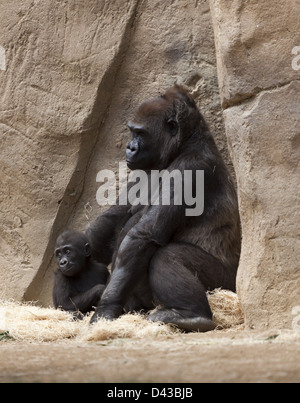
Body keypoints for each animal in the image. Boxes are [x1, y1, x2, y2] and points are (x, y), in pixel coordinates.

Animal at [86, 84, 239, 332]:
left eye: (141, 133)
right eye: (132, 132)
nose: (130, 148)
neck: (185, 143)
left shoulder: (190, 169)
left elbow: (143, 235)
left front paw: (105, 308)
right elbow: (113, 217)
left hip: (225, 283)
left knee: (166, 255)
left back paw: (192, 315)